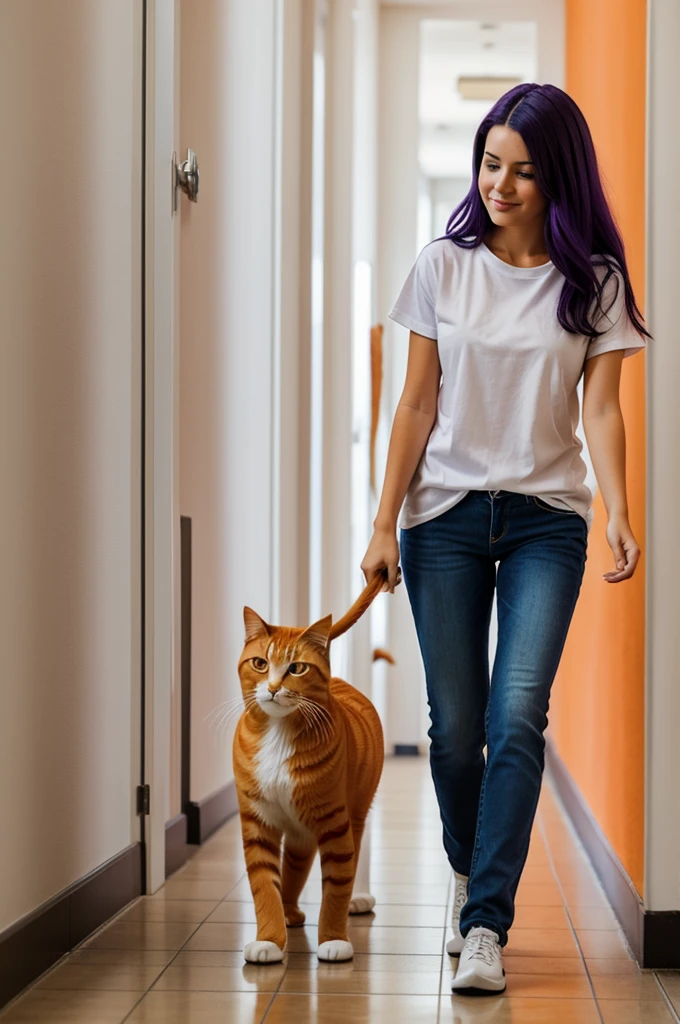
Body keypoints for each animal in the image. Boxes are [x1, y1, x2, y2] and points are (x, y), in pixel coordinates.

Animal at [232, 573, 387, 954]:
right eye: (260, 664)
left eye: (296, 668)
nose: (273, 687)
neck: (278, 734)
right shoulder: (257, 822)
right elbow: (264, 885)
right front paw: (269, 940)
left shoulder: (334, 823)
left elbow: (337, 884)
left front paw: (333, 939)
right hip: (300, 832)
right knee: (295, 865)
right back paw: (289, 911)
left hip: (355, 811)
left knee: (356, 854)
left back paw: (358, 898)